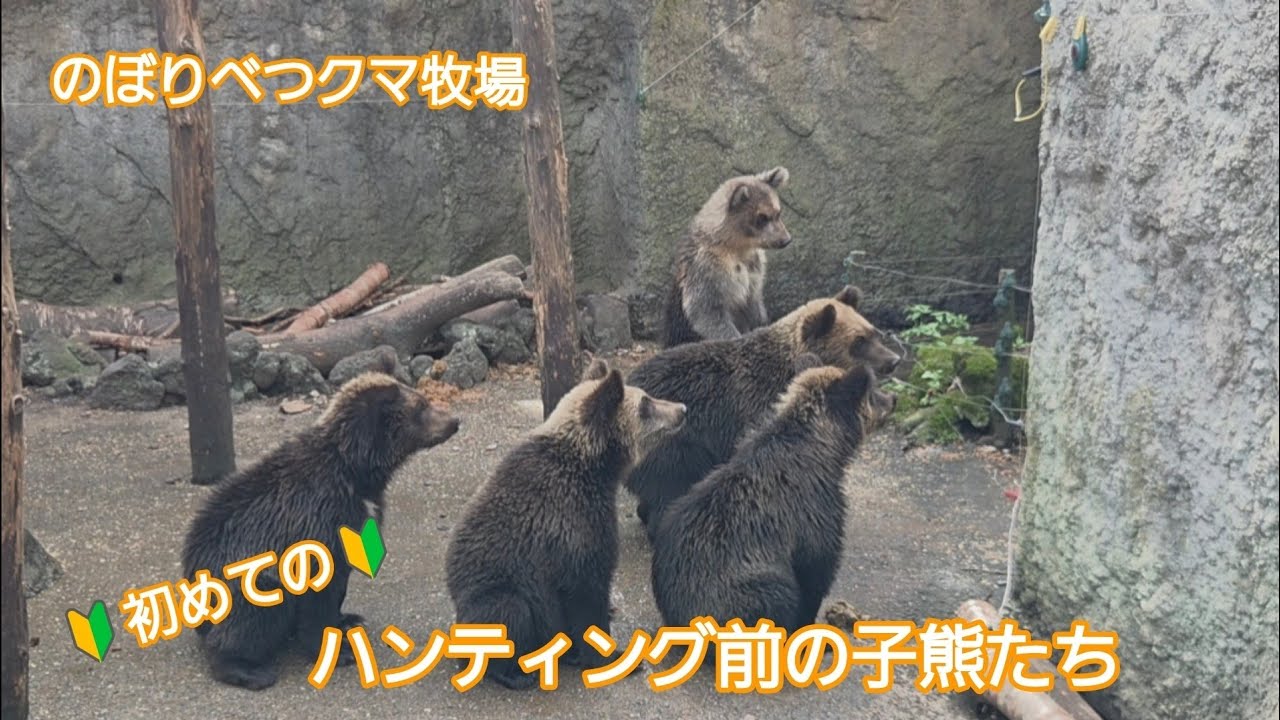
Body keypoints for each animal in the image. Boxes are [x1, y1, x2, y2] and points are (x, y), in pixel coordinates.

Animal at [180, 372, 460, 690]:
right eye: (421, 406)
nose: (454, 421)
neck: (356, 474)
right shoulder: (316, 524)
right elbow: (317, 599)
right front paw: (339, 652)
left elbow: (338, 587)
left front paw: (346, 618)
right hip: (241, 577)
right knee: (250, 617)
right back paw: (246, 668)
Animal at [444, 360, 686, 690]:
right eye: (646, 404)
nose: (682, 409)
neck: (594, 468)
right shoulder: (573, 523)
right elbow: (587, 590)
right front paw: (616, 657)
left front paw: (577, 652)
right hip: (493, 593)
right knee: (509, 613)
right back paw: (516, 674)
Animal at [650, 363, 896, 635]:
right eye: (872, 392)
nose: (893, 399)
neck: (823, 451)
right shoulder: (815, 515)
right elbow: (815, 576)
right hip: (749, 587)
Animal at [663, 166, 793, 348]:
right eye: (762, 217)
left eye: (778, 212)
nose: (786, 240)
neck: (736, 247)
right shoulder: (707, 268)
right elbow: (706, 312)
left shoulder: (753, 268)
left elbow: (754, 305)